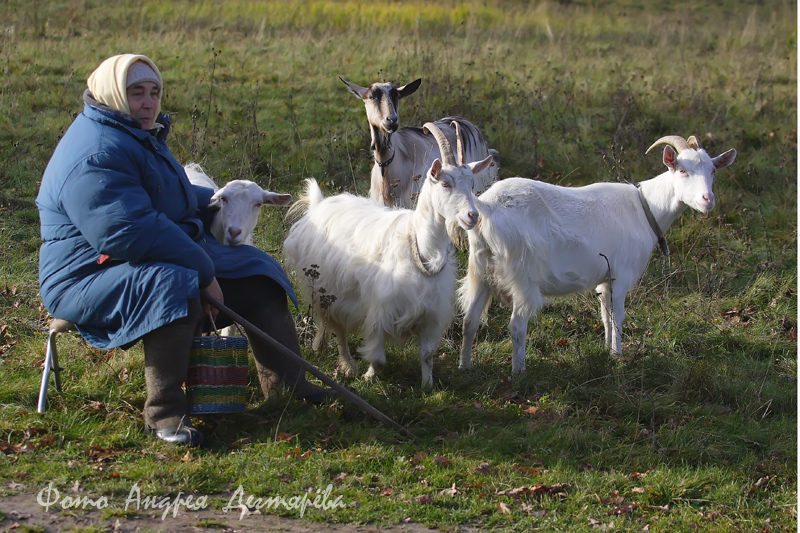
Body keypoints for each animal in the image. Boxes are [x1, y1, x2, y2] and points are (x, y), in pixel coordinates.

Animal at [284, 121, 490, 386]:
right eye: (446, 184)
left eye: (472, 185)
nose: (472, 216)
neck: (420, 248)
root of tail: (319, 204)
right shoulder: (380, 311)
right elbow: (379, 358)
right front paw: (368, 377)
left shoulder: (430, 314)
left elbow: (427, 354)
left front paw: (427, 385)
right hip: (328, 291)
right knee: (338, 329)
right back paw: (349, 366)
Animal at [456, 135, 736, 372]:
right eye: (682, 170)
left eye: (712, 170)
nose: (707, 199)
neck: (645, 208)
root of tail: (487, 207)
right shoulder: (621, 275)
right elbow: (619, 317)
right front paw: (619, 356)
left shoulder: (606, 278)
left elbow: (606, 316)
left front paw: (607, 351)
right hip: (521, 275)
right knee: (516, 325)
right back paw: (519, 372)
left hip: (481, 270)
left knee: (469, 321)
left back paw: (465, 367)